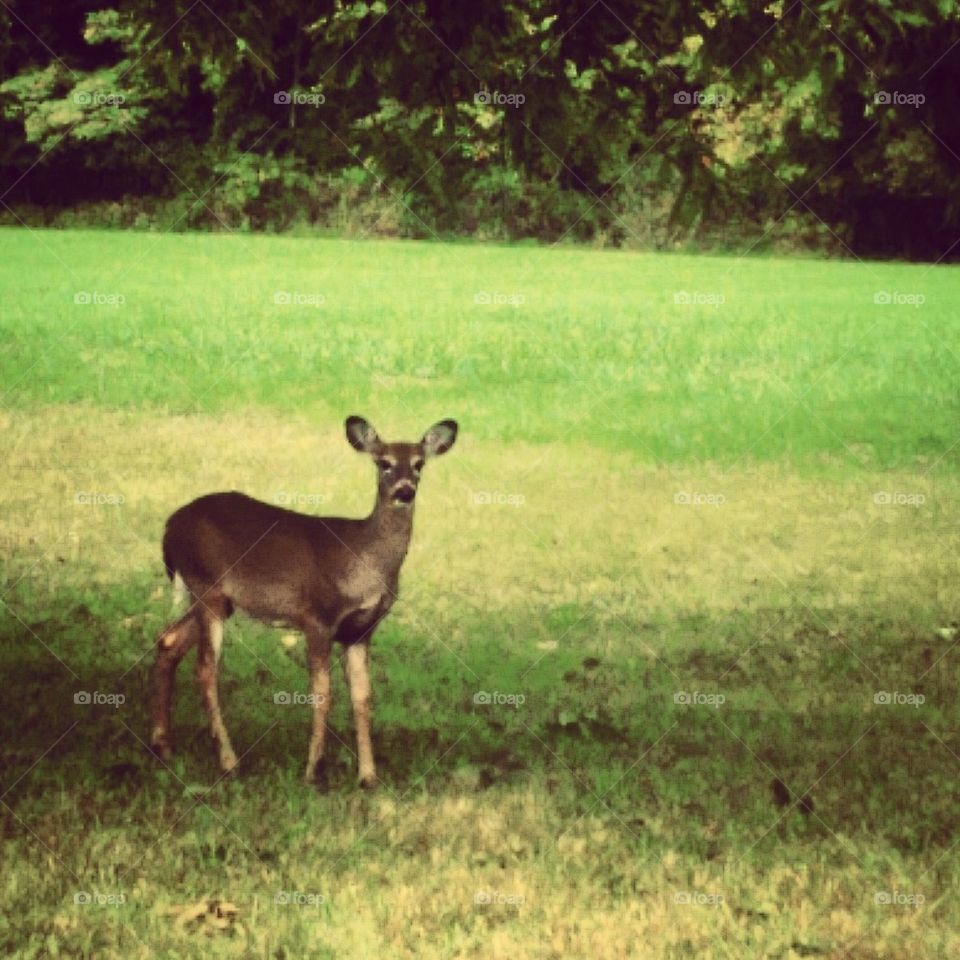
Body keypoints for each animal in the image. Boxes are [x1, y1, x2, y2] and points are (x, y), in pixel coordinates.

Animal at [149, 415, 458, 788]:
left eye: (418, 464)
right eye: (383, 463)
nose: (405, 491)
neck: (363, 561)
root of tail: (169, 528)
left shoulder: (361, 631)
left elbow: (362, 697)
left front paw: (368, 776)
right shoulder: (318, 617)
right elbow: (322, 692)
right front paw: (314, 771)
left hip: (217, 600)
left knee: (168, 640)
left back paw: (163, 747)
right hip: (208, 587)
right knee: (206, 669)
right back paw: (228, 762)